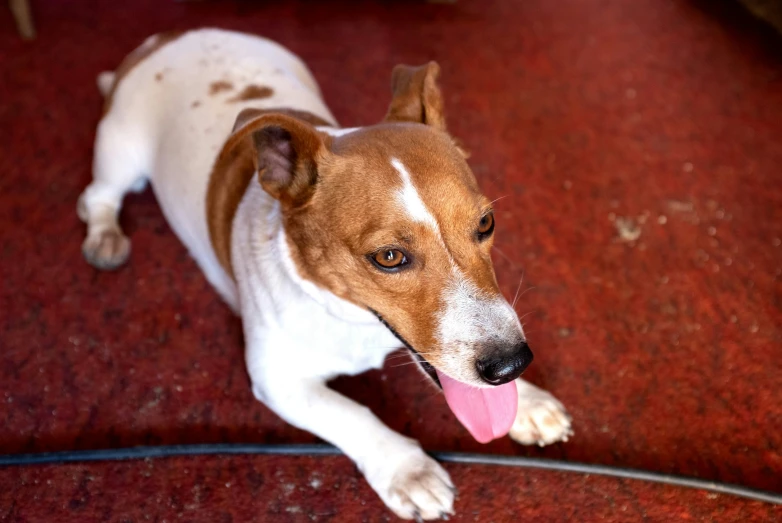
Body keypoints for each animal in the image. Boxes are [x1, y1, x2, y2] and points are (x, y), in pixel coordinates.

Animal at [76, 28, 572, 520]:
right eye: (388, 257)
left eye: (486, 223)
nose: (512, 365)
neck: (348, 316)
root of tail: (167, 38)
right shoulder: (277, 379)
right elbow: (351, 415)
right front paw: (407, 470)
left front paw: (526, 401)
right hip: (119, 155)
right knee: (97, 197)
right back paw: (105, 238)